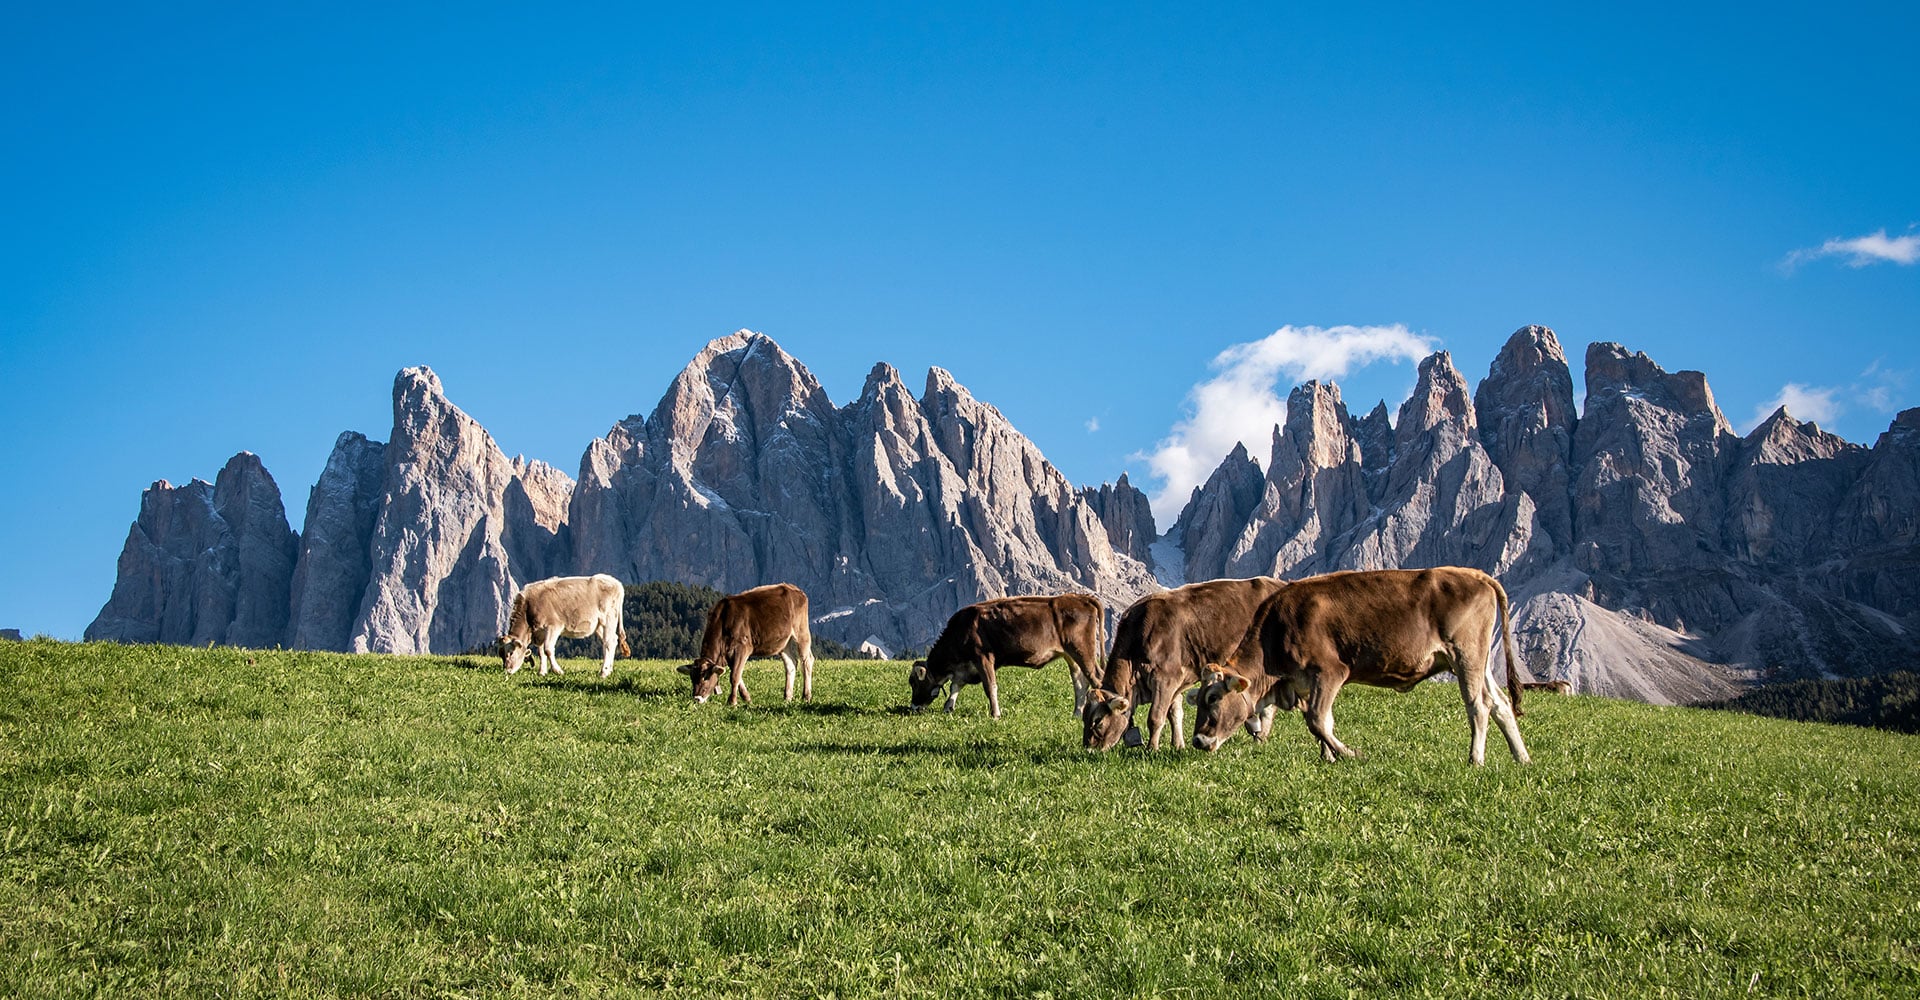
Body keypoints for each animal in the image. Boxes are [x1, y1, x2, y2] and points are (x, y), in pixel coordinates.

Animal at [495, 568, 629, 679]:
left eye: (510, 653)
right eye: (501, 655)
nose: (507, 671)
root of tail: (616, 583)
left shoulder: (554, 626)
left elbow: (548, 649)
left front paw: (557, 670)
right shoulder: (540, 632)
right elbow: (541, 652)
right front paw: (542, 672)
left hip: (609, 618)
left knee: (608, 642)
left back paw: (604, 672)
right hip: (599, 625)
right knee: (612, 641)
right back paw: (609, 670)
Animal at [679, 579, 814, 706]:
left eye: (705, 677)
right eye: (692, 678)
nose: (697, 698)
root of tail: (794, 588)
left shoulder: (742, 648)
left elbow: (734, 676)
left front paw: (732, 701)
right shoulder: (729, 653)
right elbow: (738, 675)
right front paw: (747, 698)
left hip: (801, 632)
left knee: (806, 661)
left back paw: (806, 696)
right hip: (783, 641)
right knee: (791, 663)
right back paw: (787, 697)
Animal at [906, 591, 1105, 717]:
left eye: (914, 683)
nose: (913, 707)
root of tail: (1080, 598)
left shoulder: (983, 658)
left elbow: (990, 687)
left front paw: (995, 714)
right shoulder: (965, 667)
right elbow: (956, 686)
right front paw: (948, 707)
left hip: (1082, 650)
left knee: (1097, 677)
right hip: (1071, 655)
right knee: (1080, 682)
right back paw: (1076, 714)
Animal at [1082, 575, 1290, 748]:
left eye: (1098, 721)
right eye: (1084, 718)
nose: (1088, 748)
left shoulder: (1165, 678)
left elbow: (1156, 717)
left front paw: (1152, 749)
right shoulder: (1175, 682)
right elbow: (1174, 713)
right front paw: (1178, 745)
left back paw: (1260, 737)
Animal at [1182, 564, 1528, 760]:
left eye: (1213, 698)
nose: (1198, 740)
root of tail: (1476, 574)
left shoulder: (1330, 671)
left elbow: (1318, 720)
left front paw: (1351, 754)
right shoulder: (1305, 682)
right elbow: (1320, 722)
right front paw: (1328, 757)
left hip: (1466, 654)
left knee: (1478, 705)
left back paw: (1476, 760)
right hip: (1479, 661)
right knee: (1500, 704)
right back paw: (1521, 758)